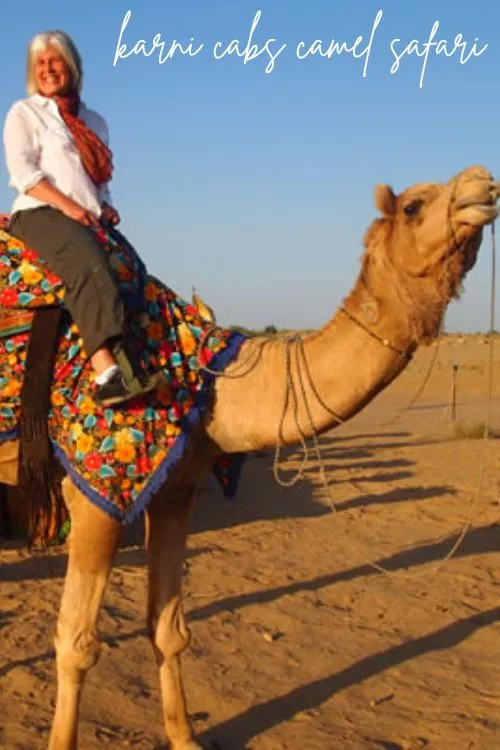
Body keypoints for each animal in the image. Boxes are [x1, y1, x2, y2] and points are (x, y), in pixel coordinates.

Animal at [0, 166, 498, 750]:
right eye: (416, 206)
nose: (482, 182)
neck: (207, 379)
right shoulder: (98, 488)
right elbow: (77, 644)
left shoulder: (175, 489)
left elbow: (168, 629)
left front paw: (186, 737)